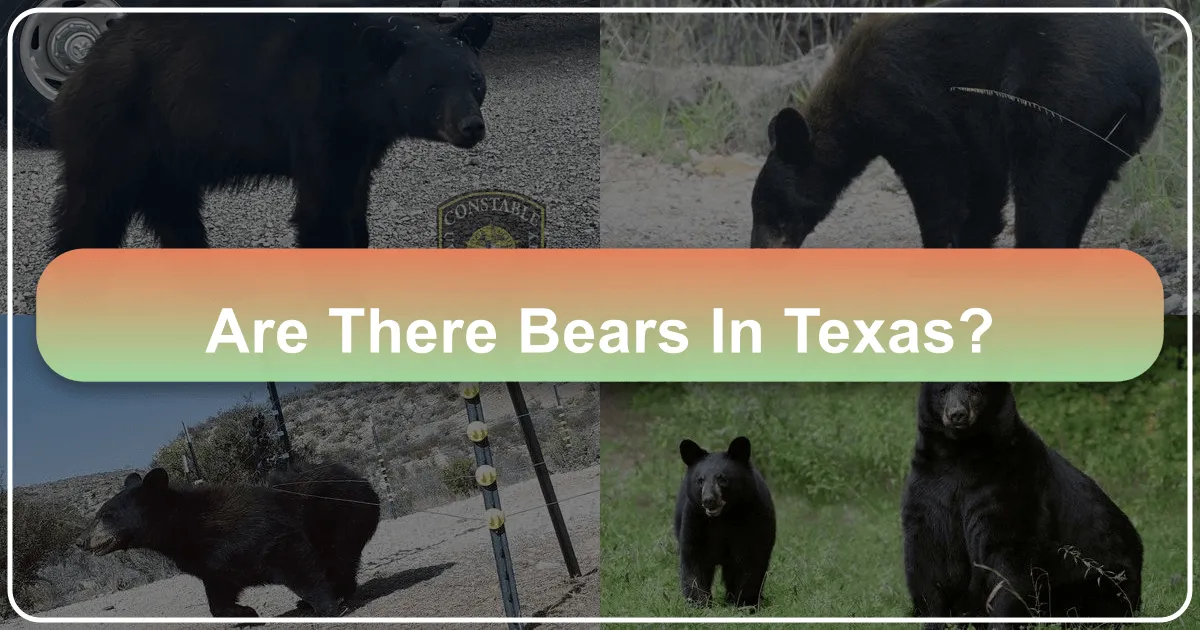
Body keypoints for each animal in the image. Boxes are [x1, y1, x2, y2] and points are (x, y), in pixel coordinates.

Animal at [48, 11, 494, 254]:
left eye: (474, 79)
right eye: (432, 86)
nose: (471, 126)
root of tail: (81, 68)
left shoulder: (363, 139)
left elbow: (354, 198)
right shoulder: (316, 112)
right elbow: (322, 209)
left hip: (166, 153)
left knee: (174, 211)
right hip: (115, 131)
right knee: (92, 210)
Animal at [75, 464, 381, 619]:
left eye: (107, 515)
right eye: (99, 513)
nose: (81, 541)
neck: (187, 529)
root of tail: (363, 480)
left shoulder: (261, 534)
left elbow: (294, 559)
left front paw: (327, 607)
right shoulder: (214, 561)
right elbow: (219, 594)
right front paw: (245, 612)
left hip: (342, 518)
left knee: (338, 557)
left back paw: (329, 598)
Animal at [674, 436, 776, 609]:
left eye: (722, 478)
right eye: (700, 480)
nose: (708, 500)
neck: (723, 518)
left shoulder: (754, 518)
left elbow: (752, 561)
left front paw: (745, 604)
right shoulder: (694, 520)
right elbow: (694, 561)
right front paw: (699, 604)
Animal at [750, 1, 1162, 249]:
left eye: (770, 210)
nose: (757, 249)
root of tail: (1142, 79)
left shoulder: (905, 101)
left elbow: (938, 174)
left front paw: (942, 242)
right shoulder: (978, 129)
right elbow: (982, 186)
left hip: (1063, 101)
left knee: (1045, 190)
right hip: (1110, 138)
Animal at [901, 382, 1143, 623]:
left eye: (975, 388)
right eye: (943, 390)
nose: (957, 414)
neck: (962, 453)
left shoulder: (1015, 483)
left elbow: (1008, 559)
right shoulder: (931, 486)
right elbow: (928, 558)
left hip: (1096, 579)